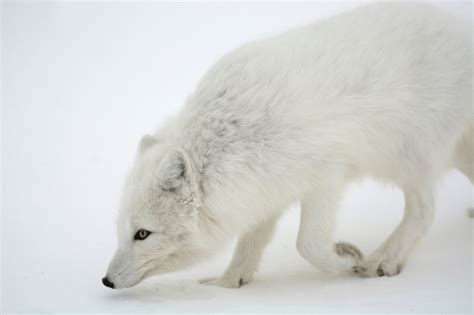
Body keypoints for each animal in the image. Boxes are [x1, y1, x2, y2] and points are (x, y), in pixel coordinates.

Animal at [102, 2, 472, 290]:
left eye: (143, 234)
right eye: (122, 229)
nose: (106, 281)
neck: (234, 138)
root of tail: (461, 28)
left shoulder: (327, 177)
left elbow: (307, 244)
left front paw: (348, 262)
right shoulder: (265, 192)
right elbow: (249, 244)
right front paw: (226, 284)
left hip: (408, 158)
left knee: (424, 212)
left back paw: (381, 261)